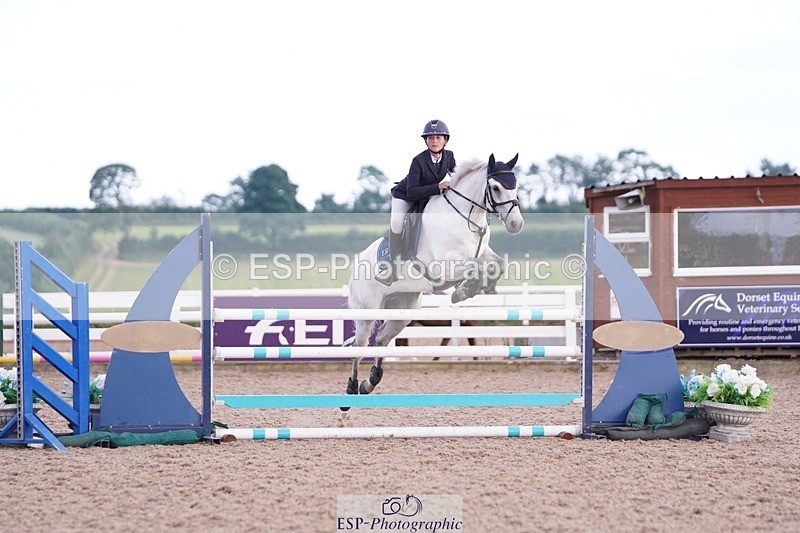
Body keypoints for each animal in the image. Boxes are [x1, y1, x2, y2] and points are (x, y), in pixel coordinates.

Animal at [343, 153, 524, 398]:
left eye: (516, 186)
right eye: (495, 188)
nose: (516, 224)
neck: (464, 217)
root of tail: (356, 264)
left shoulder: (482, 252)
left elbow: (497, 264)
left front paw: (469, 289)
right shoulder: (443, 266)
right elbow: (474, 266)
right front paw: (462, 292)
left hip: (403, 310)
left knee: (381, 339)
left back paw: (370, 381)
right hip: (367, 312)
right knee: (359, 346)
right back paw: (352, 386)